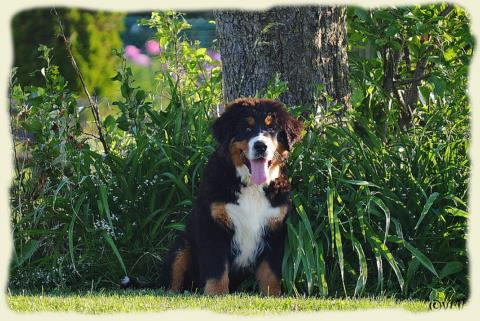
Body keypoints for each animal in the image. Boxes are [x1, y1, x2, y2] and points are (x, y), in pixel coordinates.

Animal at [120, 97, 302, 296]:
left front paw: (272, 296)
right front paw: (216, 295)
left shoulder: (274, 229)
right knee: (172, 279)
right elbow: (216, 268)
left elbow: (270, 273)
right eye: (246, 128)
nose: (261, 146)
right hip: (182, 245)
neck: (252, 186)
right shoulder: (213, 225)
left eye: (271, 129)